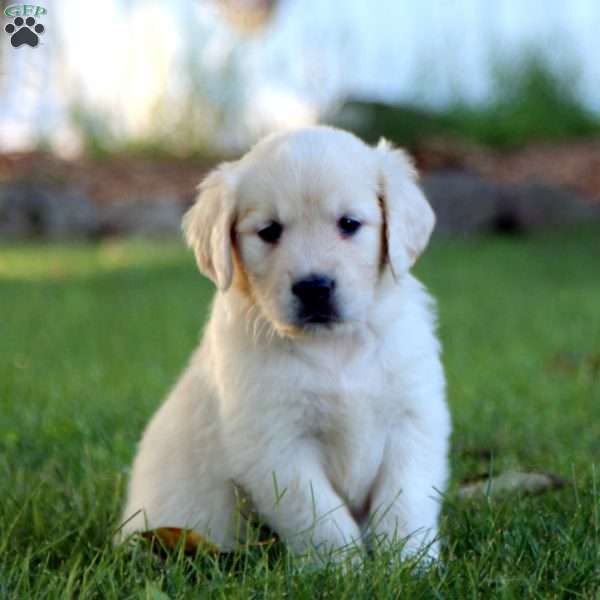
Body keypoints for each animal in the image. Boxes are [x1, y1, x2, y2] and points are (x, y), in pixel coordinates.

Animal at [118, 125, 450, 564]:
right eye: (269, 231)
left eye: (349, 223)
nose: (314, 288)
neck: (334, 349)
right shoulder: (275, 444)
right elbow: (322, 517)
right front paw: (346, 570)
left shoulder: (413, 419)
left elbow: (405, 501)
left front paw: (408, 563)